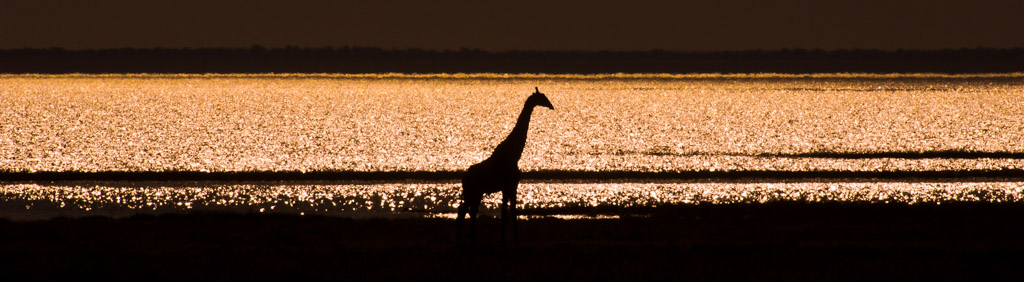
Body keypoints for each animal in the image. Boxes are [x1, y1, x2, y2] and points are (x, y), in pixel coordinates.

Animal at [458, 87, 552, 246]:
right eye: (542, 97)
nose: (551, 106)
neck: (514, 154)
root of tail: (463, 178)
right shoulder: (511, 185)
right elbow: (510, 211)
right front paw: (511, 239)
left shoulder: (508, 187)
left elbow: (507, 211)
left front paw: (507, 239)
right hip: (473, 193)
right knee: (464, 211)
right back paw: (465, 240)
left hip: (476, 193)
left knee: (469, 211)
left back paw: (472, 239)